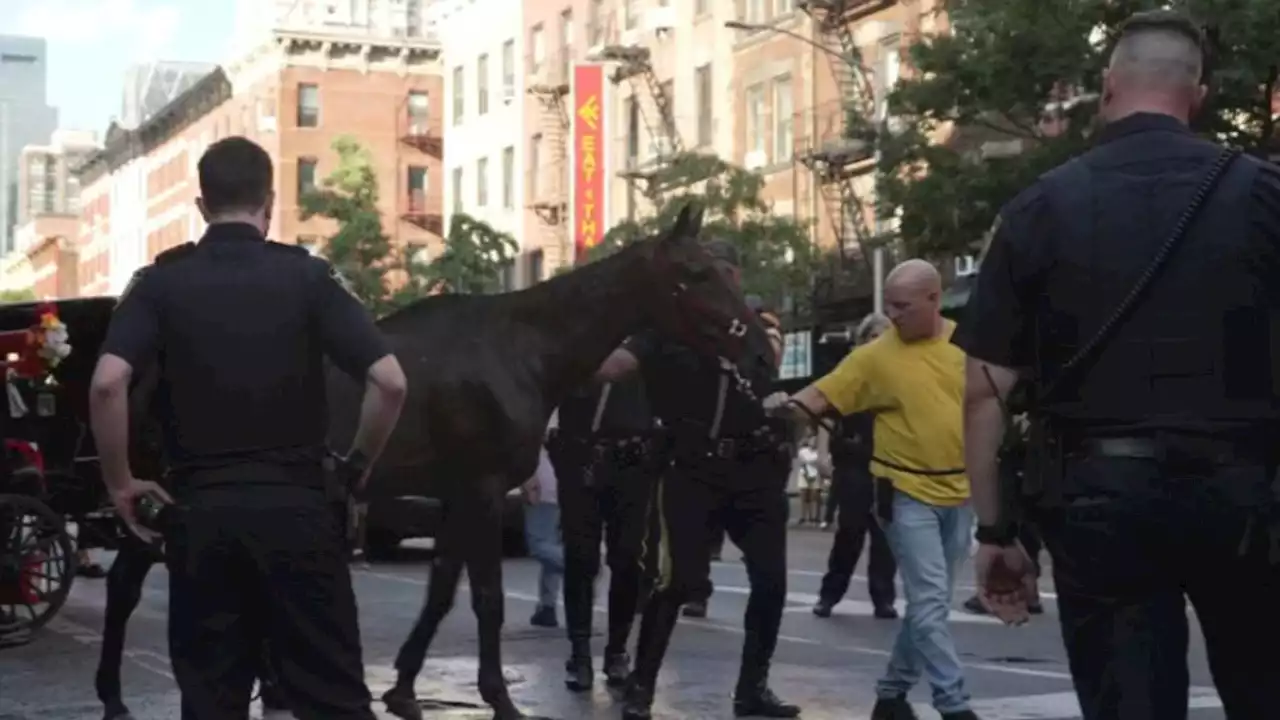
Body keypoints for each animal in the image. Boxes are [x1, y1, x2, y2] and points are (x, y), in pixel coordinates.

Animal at [325, 203, 768, 717]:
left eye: (725, 270)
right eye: (696, 273)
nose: (762, 350)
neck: (522, 351)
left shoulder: (458, 495)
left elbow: (441, 592)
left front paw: (403, 688)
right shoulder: (484, 488)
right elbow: (487, 599)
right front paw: (498, 696)